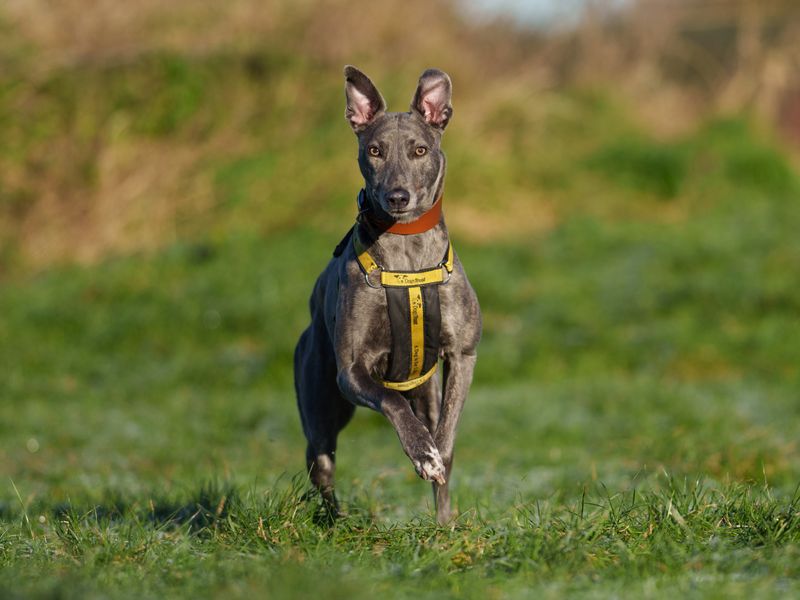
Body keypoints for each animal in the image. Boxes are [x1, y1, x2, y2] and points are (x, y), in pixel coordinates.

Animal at [294, 67, 482, 524]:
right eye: (375, 150)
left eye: (420, 150)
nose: (398, 197)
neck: (406, 253)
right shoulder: (351, 372)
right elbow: (390, 402)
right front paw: (421, 452)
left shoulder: (462, 355)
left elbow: (446, 439)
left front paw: (434, 462)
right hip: (320, 402)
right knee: (321, 464)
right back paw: (335, 521)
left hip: (425, 390)